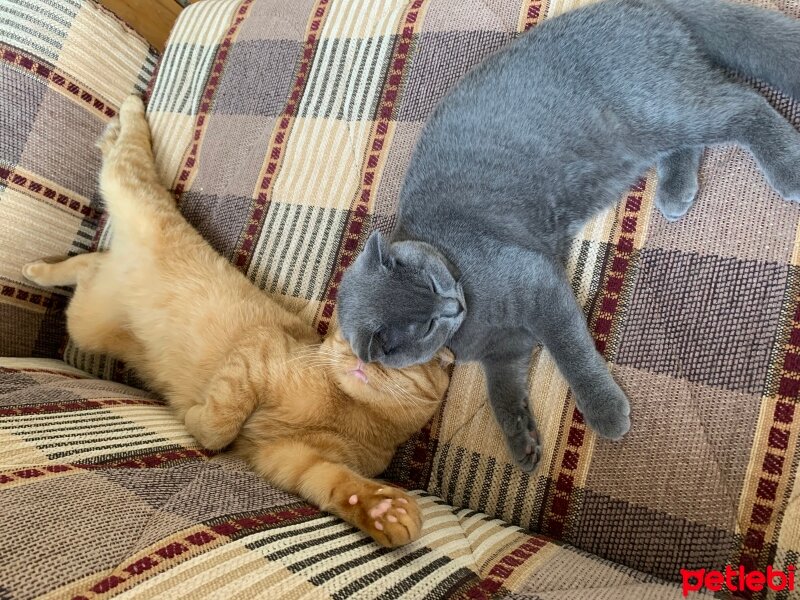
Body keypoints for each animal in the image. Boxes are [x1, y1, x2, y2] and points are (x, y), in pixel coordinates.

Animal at [23, 95, 450, 548]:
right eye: (352, 333)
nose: (360, 356)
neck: (347, 412)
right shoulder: (256, 356)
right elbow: (220, 425)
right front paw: (196, 420)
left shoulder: (293, 457)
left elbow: (336, 482)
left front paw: (383, 509)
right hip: (134, 200)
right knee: (128, 162)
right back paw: (126, 115)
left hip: (84, 322)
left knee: (89, 263)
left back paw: (44, 263)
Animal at [336, 0, 800, 472]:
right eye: (427, 324)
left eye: (432, 286)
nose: (454, 305)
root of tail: (636, 5)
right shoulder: (504, 352)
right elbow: (501, 394)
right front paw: (522, 444)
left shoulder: (537, 281)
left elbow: (570, 352)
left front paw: (605, 411)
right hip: (649, 122)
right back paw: (675, 191)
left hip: (652, 106)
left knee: (744, 103)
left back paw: (788, 170)